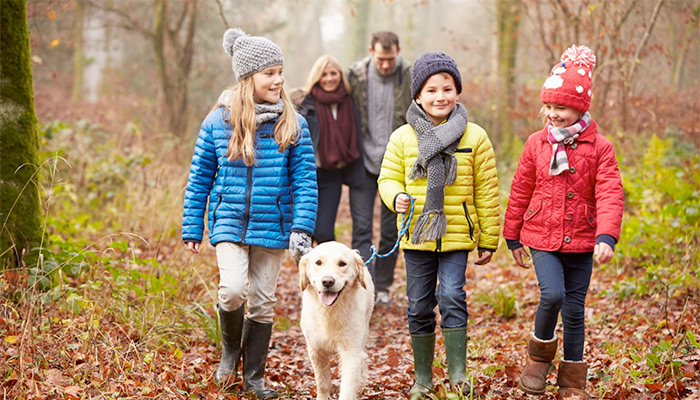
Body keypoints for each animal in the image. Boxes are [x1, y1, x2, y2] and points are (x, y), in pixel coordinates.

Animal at [300, 241, 378, 400]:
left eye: (342, 264)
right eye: (318, 262)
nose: (327, 281)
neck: (330, 311)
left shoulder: (351, 352)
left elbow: (347, 388)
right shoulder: (316, 351)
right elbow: (322, 384)